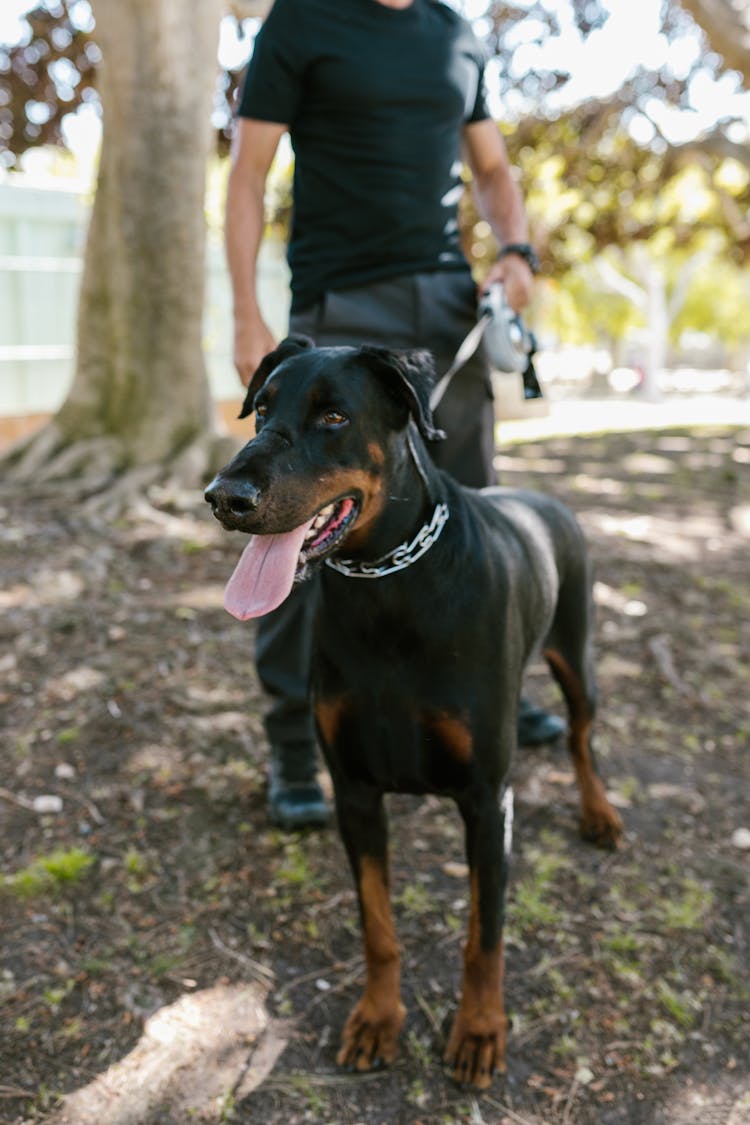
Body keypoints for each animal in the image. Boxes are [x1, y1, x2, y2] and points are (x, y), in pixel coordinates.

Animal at [205, 335, 620, 1089]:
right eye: (262, 409)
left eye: (334, 416)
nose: (224, 497)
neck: (387, 587)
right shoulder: (355, 790)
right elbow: (378, 926)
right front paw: (377, 1018)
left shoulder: (487, 799)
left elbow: (484, 935)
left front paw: (479, 1030)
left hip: (577, 654)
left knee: (581, 737)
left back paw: (598, 811)